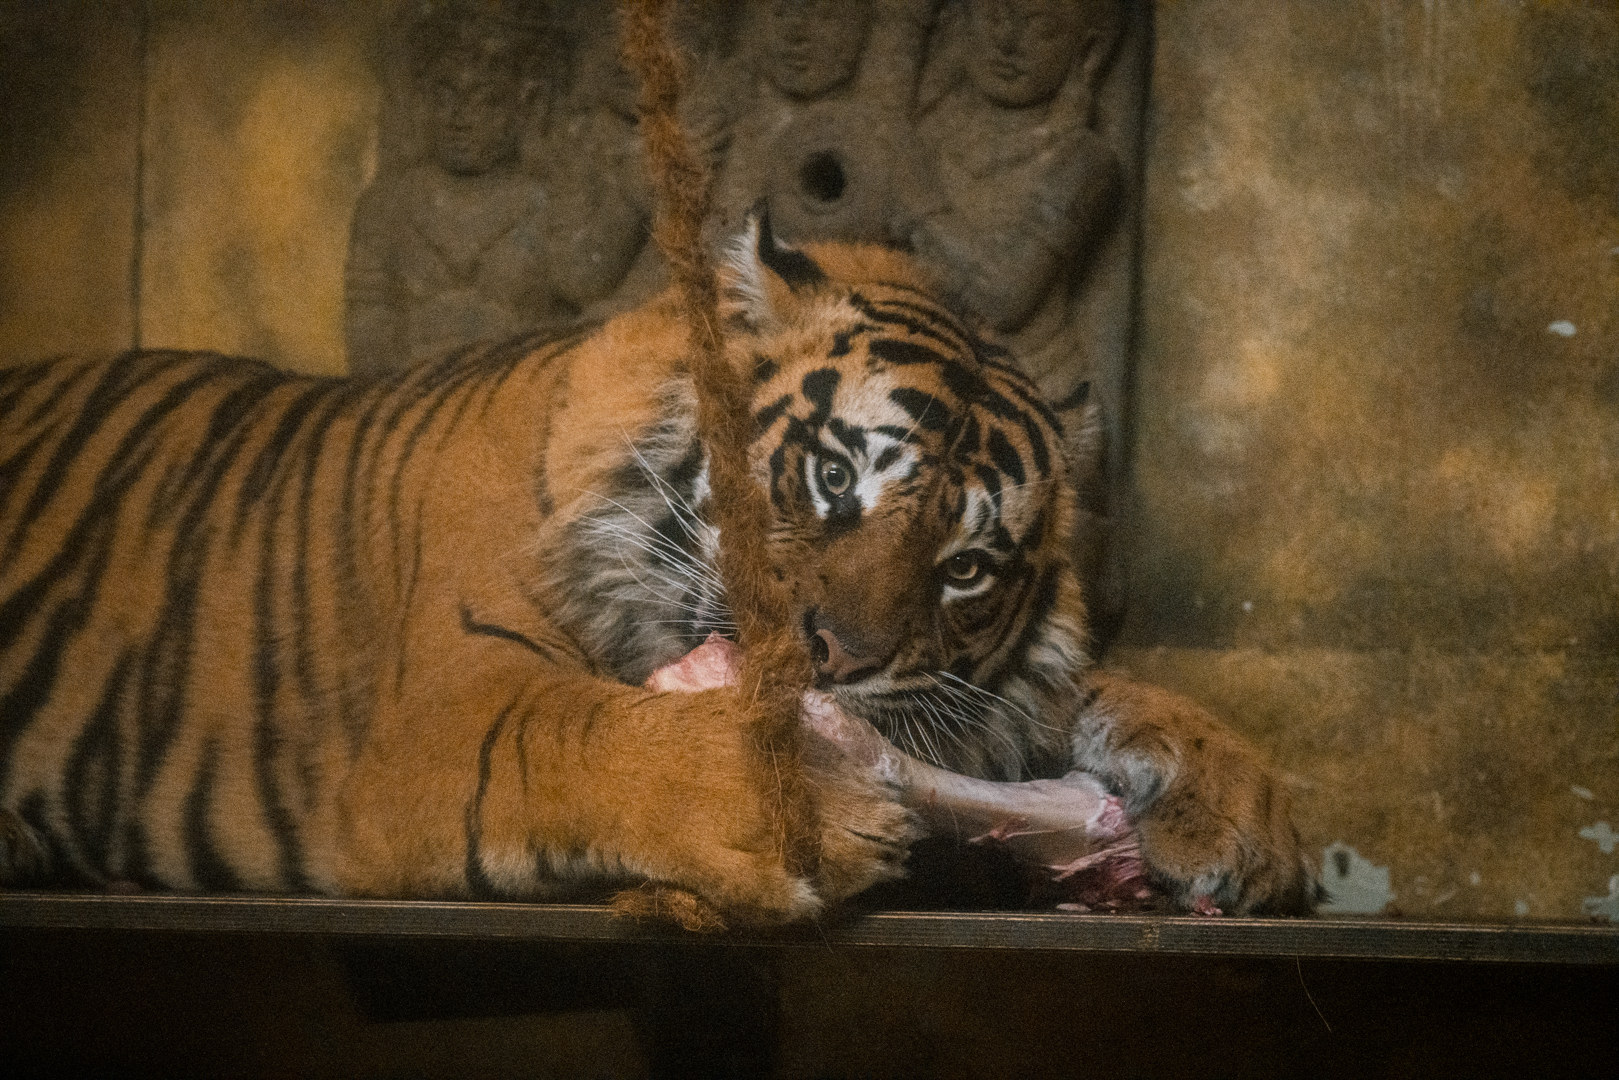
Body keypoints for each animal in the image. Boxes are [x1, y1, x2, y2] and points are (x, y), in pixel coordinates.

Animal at [0, 218, 1318, 924]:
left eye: (966, 568)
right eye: (834, 475)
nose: (840, 657)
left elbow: (1094, 688)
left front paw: (1246, 813)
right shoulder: (436, 718)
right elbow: (580, 730)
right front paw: (800, 806)